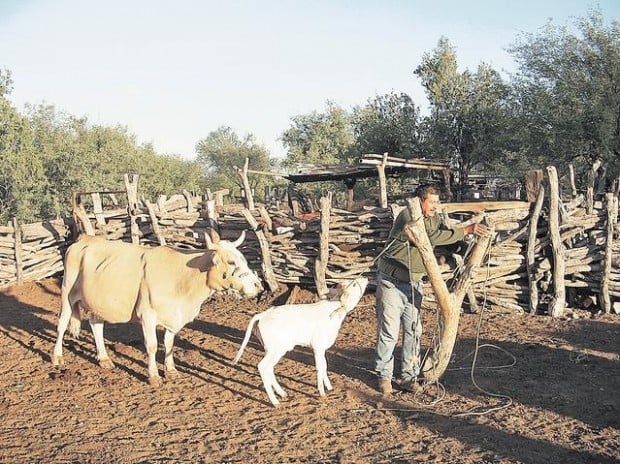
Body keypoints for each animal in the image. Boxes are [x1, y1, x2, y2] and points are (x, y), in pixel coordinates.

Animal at [54, 232, 264, 384]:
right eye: (232, 262)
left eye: (244, 259)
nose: (258, 286)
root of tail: (85, 239)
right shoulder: (147, 315)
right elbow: (152, 346)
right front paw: (154, 376)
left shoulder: (173, 317)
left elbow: (169, 344)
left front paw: (171, 371)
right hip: (67, 292)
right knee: (62, 324)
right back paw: (57, 357)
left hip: (99, 302)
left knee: (95, 324)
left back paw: (104, 359)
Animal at [232, 276, 368, 406]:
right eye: (353, 284)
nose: (365, 278)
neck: (333, 310)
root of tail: (262, 315)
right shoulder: (318, 347)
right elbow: (320, 367)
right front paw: (322, 393)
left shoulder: (322, 349)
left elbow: (324, 366)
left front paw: (329, 387)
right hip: (275, 350)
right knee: (263, 367)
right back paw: (275, 402)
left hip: (272, 350)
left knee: (269, 368)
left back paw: (282, 393)